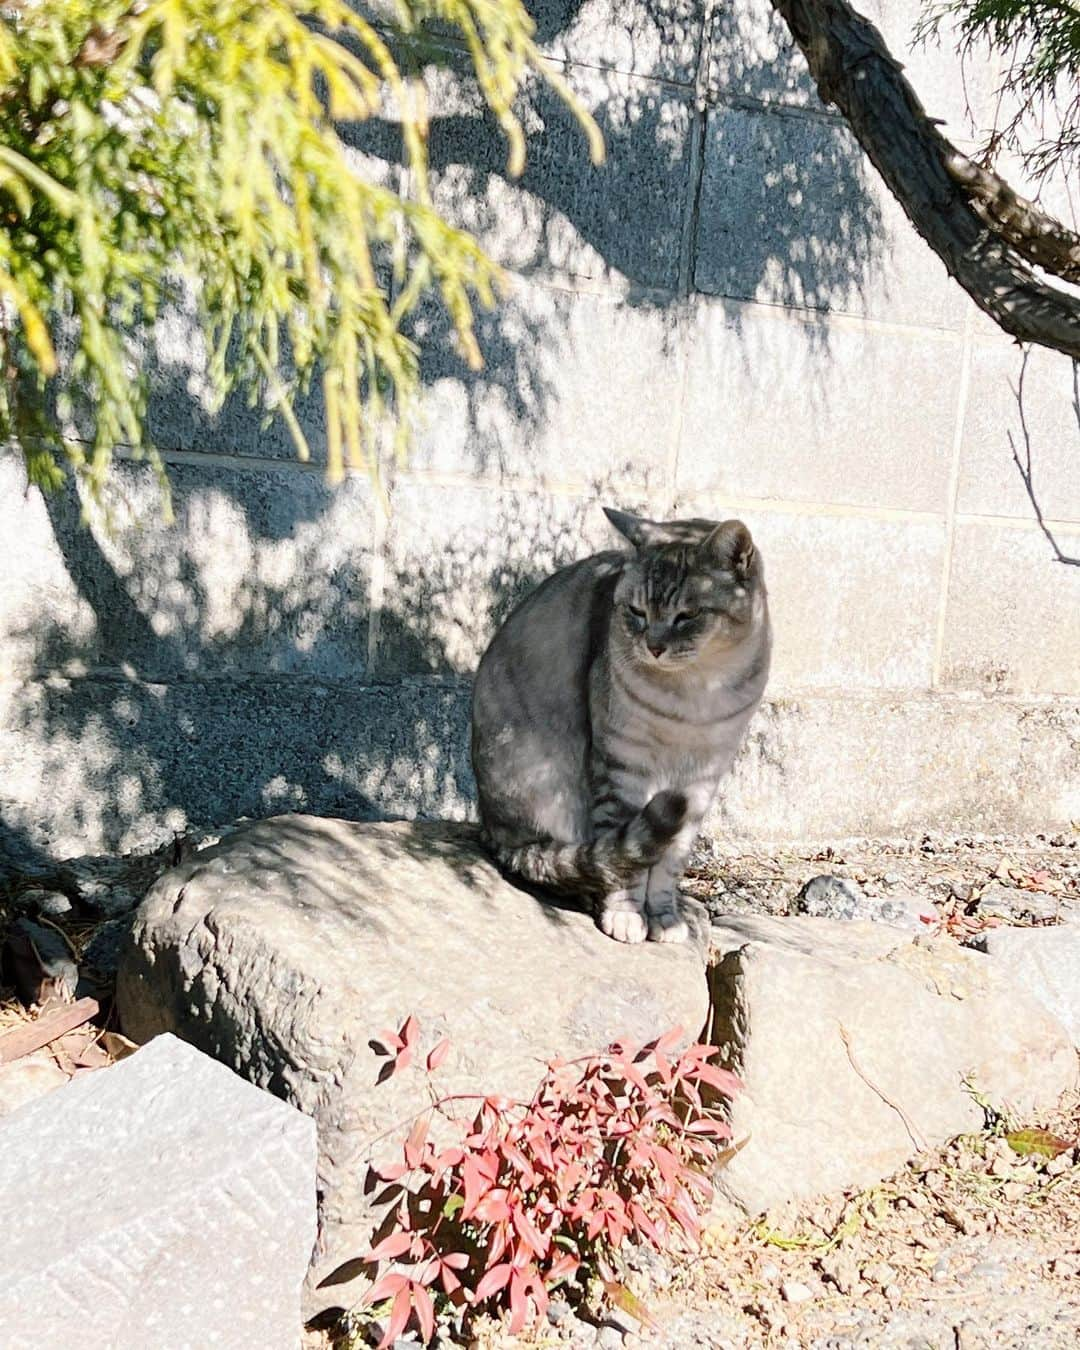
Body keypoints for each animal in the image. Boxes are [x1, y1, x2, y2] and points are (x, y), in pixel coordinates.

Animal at [469, 504, 766, 939]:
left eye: (688, 615)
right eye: (637, 612)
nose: (654, 647)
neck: (694, 693)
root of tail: (490, 826)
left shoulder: (702, 777)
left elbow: (669, 863)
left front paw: (664, 919)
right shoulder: (623, 765)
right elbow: (628, 860)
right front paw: (625, 917)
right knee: (565, 862)